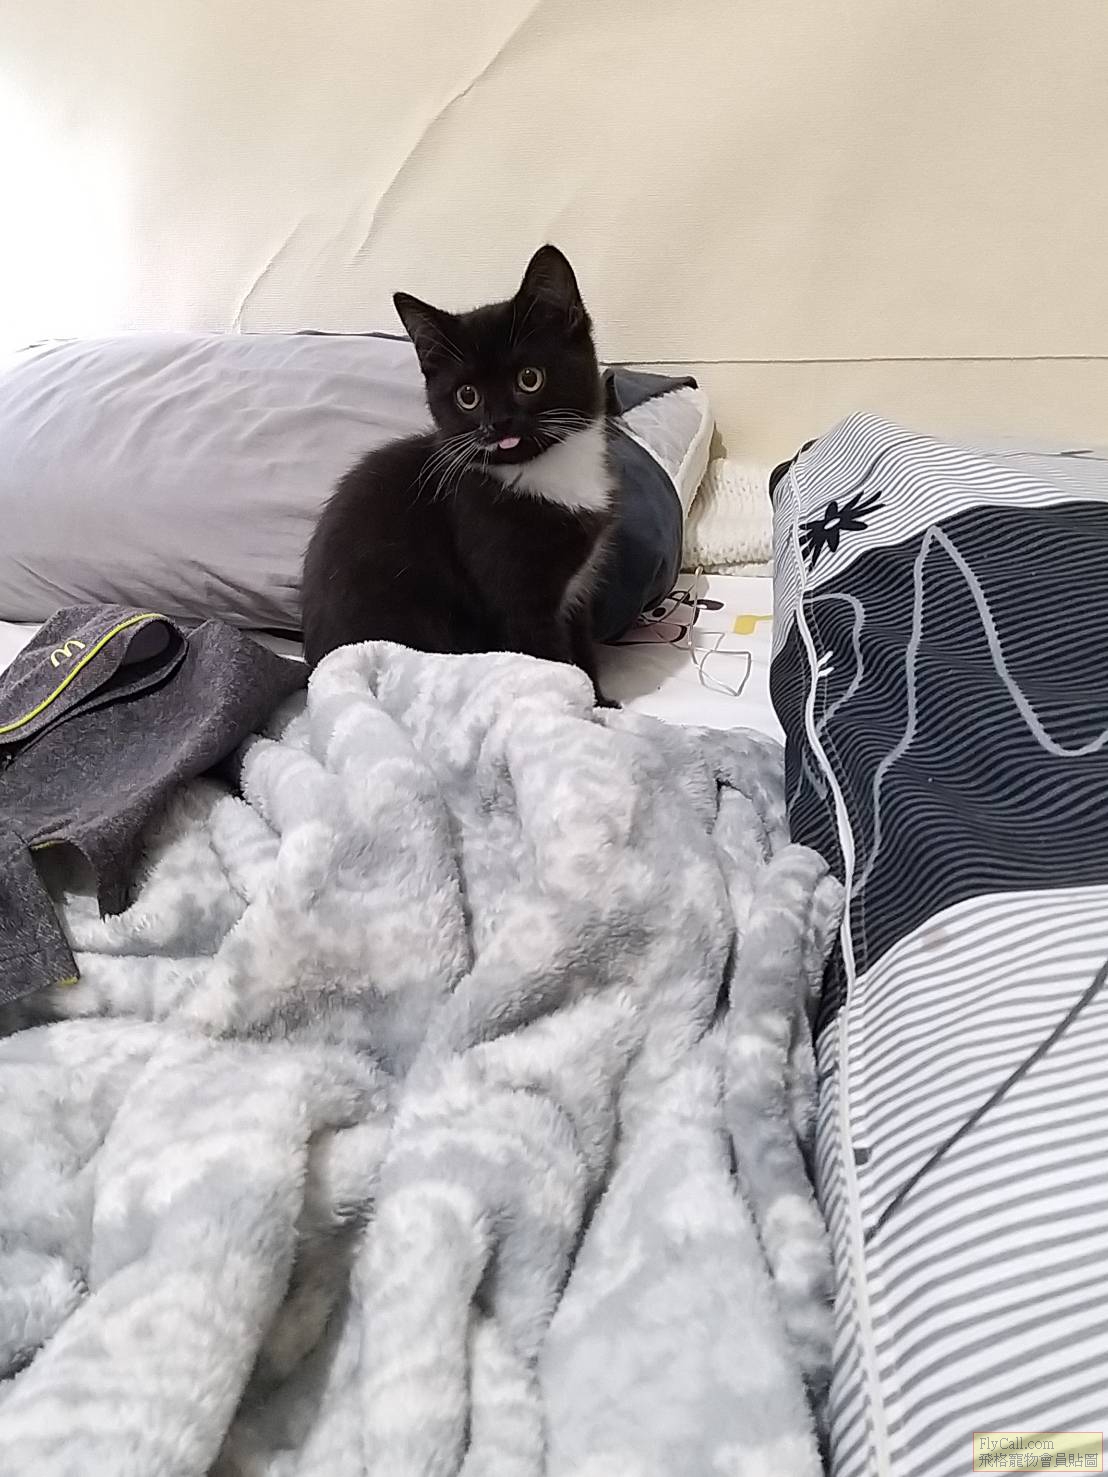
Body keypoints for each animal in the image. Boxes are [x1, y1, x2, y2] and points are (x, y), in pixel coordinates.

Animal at [300, 245, 618, 705]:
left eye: (529, 378)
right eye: (467, 396)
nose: (498, 423)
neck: (539, 472)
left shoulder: (578, 591)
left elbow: (581, 646)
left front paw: (604, 700)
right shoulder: (513, 593)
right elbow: (552, 657)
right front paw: (587, 707)